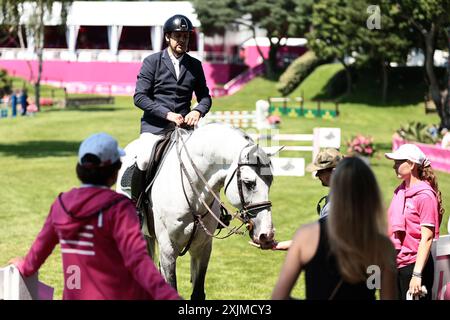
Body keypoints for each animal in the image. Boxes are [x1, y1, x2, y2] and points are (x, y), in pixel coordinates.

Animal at [117, 123, 274, 300]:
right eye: (248, 183)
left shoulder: (203, 247)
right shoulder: (168, 249)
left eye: (271, 181)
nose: (266, 235)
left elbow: (198, 291)